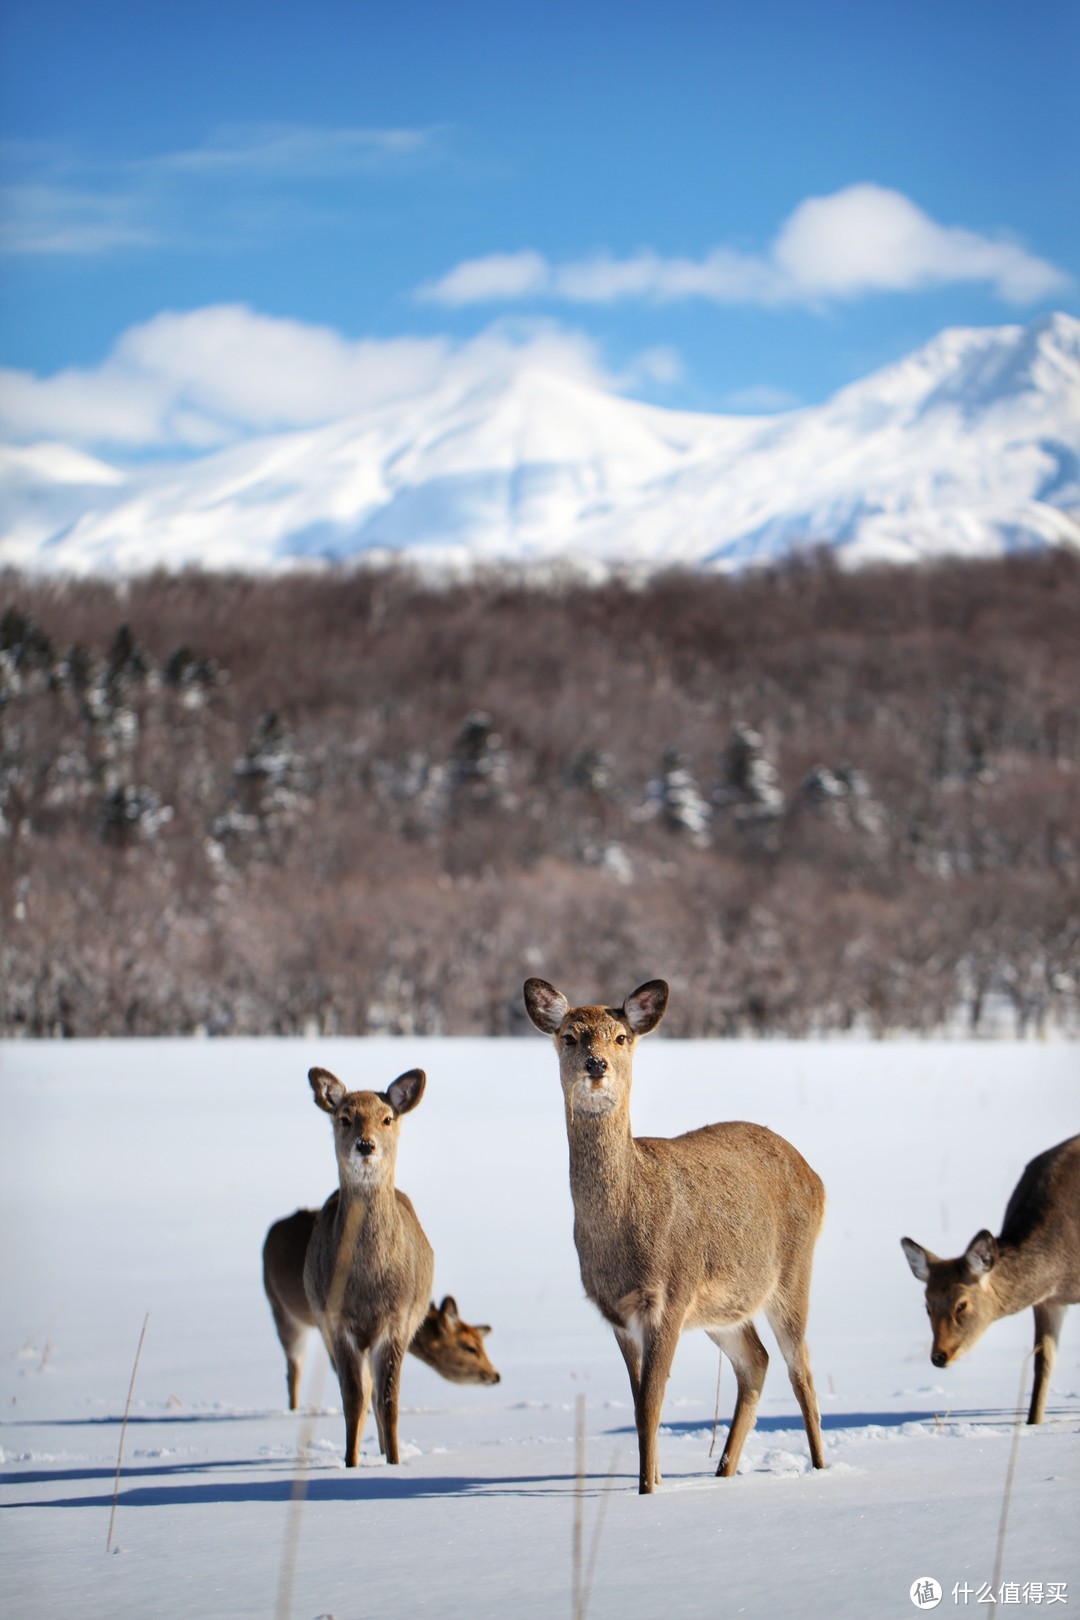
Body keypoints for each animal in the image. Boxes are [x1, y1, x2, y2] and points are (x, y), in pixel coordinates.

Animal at [302, 1062, 433, 1470]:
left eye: (387, 1118)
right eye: (344, 1118)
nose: (365, 1145)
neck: (367, 1285)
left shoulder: (398, 1320)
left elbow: (388, 1401)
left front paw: (394, 1463)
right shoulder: (336, 1322)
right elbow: (353, 1400)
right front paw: (350, 1464)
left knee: (377, 1393)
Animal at [524, 972, 829, 1490]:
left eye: (621, 1037)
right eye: (569, 1036)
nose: (596, 1064)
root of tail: (816, 1177)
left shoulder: (670, 1294)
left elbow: (650, 1406)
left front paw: (647, 1490)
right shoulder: (619, 1313)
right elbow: (638, 1406)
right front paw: (655, 1481)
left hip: (792, 1274)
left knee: (801, 1372)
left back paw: (822, 1468)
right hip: (723, 1308)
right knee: (756, 1362)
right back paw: (723, 1471)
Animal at [906, 1134, 1080, 1425]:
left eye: (962, 1304)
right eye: (927, 1306)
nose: (939, 1356)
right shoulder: (1048, 1301)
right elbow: (1043, 1360)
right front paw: (1033, 1422)